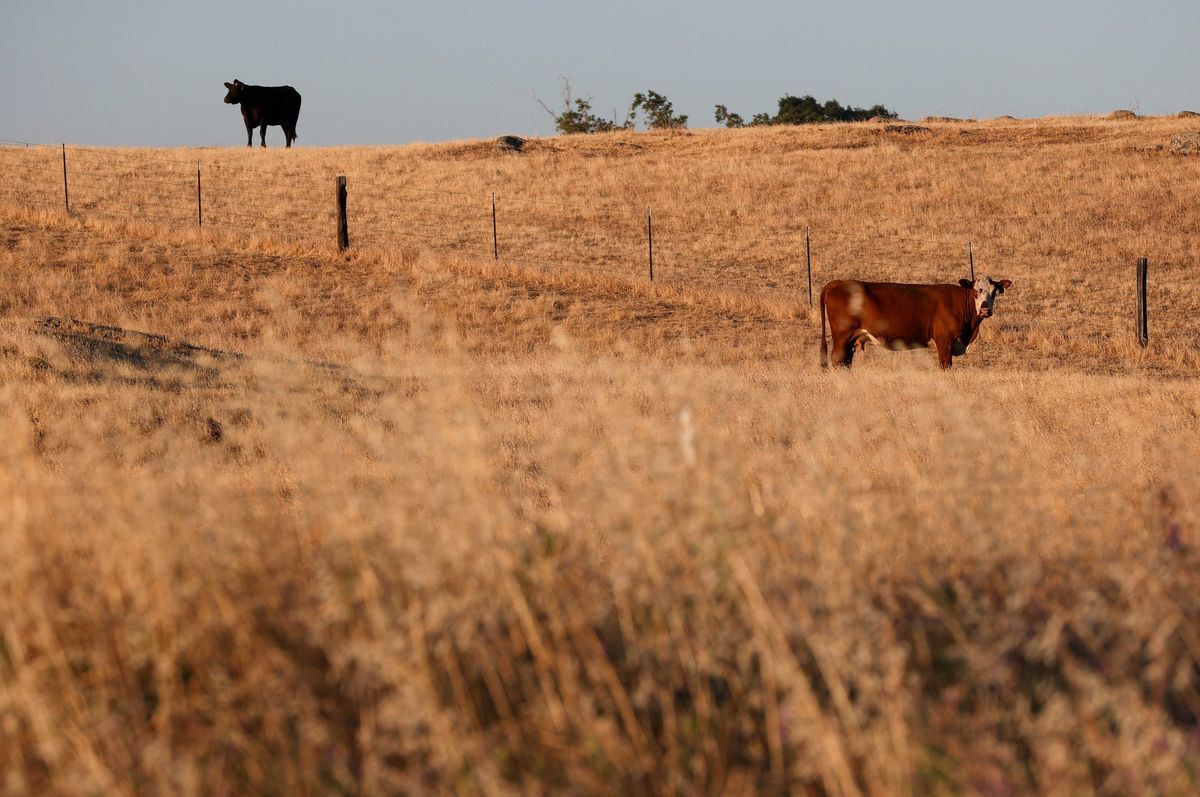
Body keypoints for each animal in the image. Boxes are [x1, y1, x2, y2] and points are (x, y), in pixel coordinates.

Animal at [819, 276, 1012, 369]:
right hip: (842, 337)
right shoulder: (944, 341)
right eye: (976, 291)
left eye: (994, 291)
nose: (985, 310)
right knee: (838, 361)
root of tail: (839, 283)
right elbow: (946, 366)